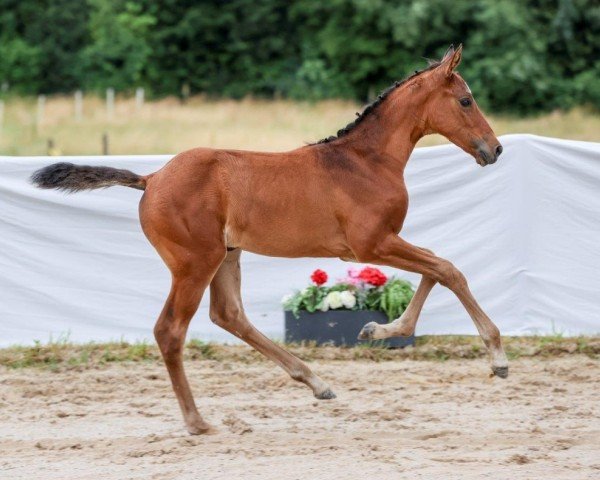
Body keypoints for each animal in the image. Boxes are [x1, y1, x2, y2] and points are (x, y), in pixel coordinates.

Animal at [32, 46, 508, 436]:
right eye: (465, 100)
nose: (495, 149)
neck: (365, 161)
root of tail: (151, 179)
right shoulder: (372, 244)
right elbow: (448, 269)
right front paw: (496, 358)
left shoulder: (381, 244)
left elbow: (437, 268)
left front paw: (377, 329)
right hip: (195, 263)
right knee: (171, 330)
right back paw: (197, 421)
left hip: (225, 256)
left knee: (229, 315)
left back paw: (316, 383)